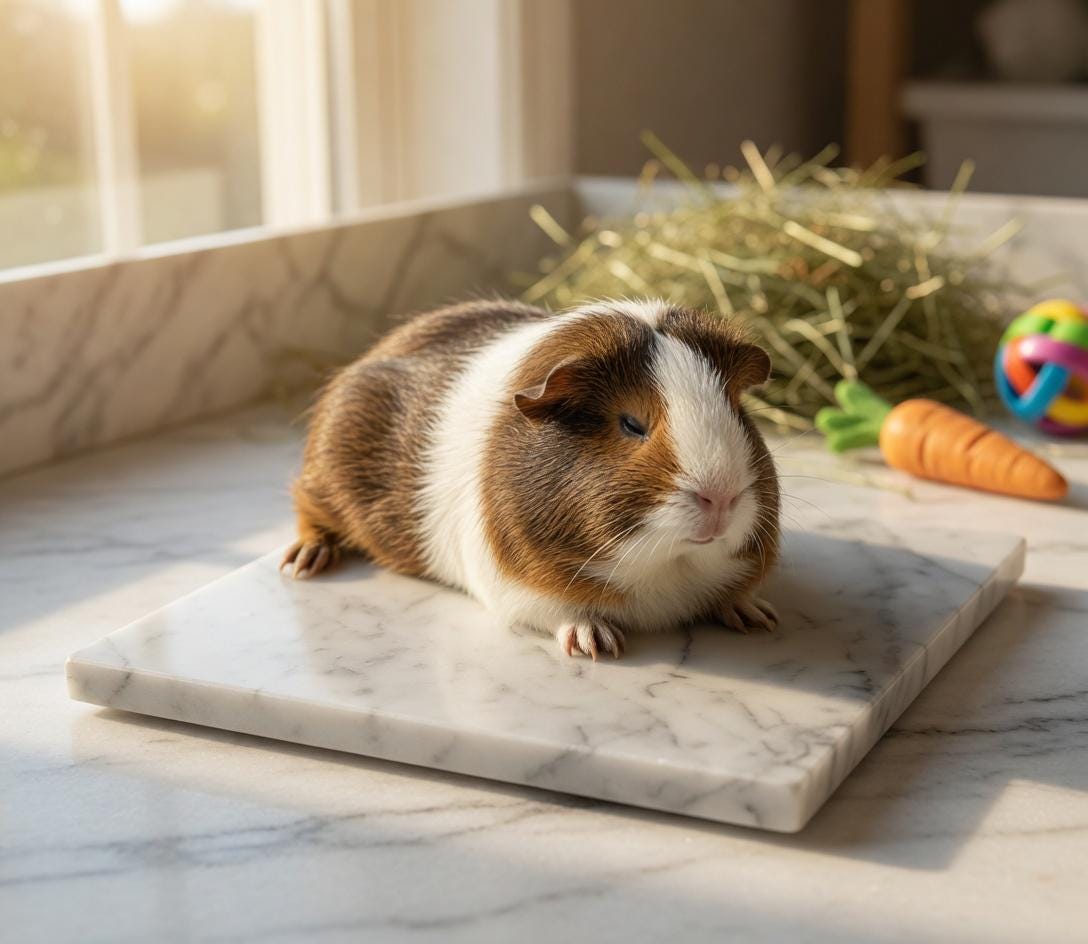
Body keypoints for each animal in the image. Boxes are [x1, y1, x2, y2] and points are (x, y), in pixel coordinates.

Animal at [283, 298, 780, 659]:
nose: (721, 498)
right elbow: (561, 611)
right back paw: (303, 563)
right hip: (324, 477)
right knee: (307, 510)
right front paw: (596, 645)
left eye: (736, 411)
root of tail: (374, 355)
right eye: (632, 424)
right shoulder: (517, 587)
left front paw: (759, 617)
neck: (666, 569)